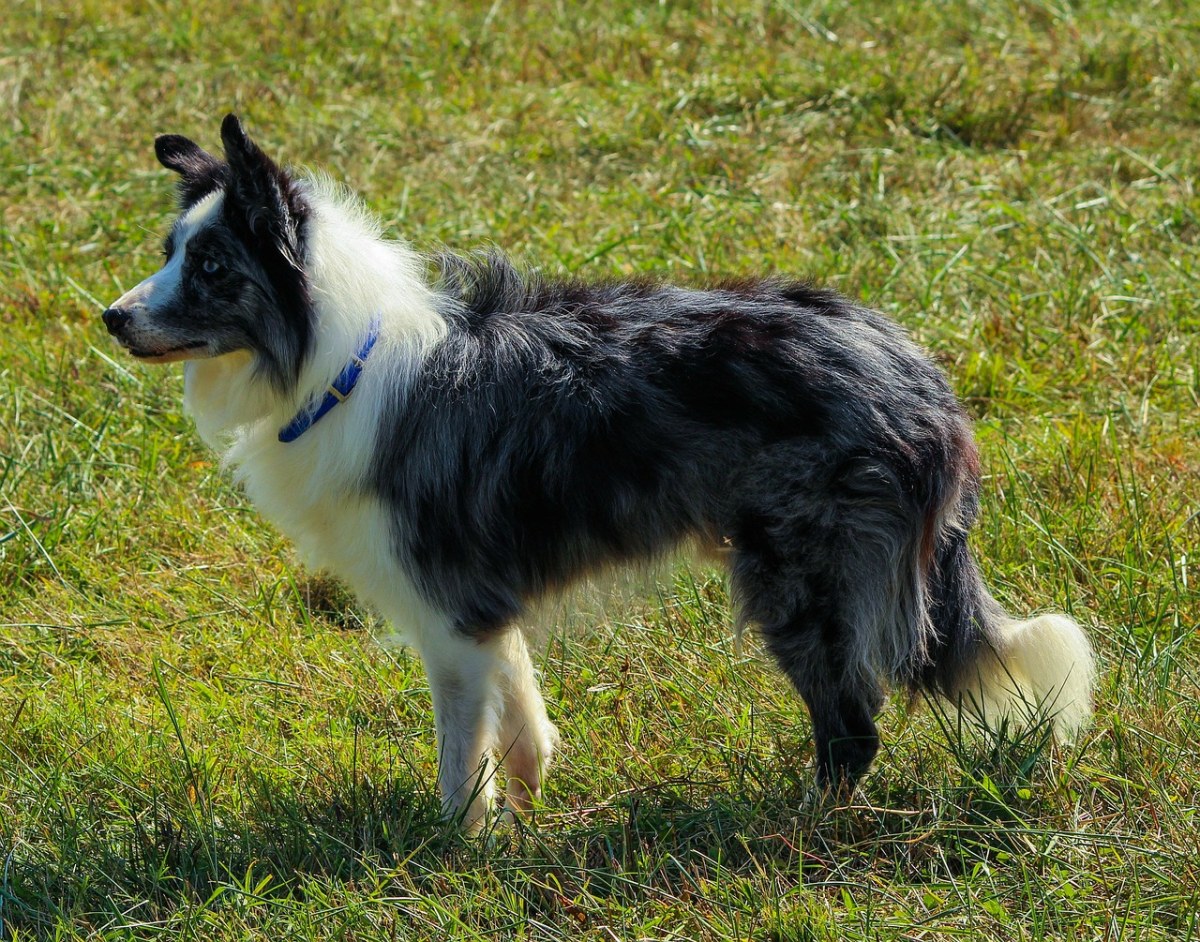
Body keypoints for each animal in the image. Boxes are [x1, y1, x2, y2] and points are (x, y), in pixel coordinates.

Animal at [105, 114, 1099, 825]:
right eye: (169, 254)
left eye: (213, 264)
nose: (111, 317)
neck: (335, 356)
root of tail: (919, 376)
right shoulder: (481, 607)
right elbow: (521, 705)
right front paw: (526, 802)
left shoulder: (444, 606)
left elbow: (459, 754)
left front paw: (457, 847)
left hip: (802, 582)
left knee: (853, 728)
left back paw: (797, 823)